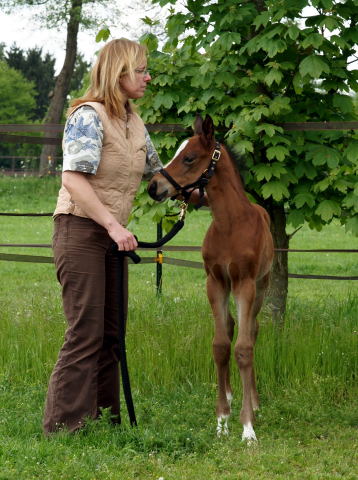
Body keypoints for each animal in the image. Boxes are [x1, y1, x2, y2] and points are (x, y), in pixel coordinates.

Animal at [147, 114, 272, 440]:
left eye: (189, 157)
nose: (154, 187)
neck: (231, 224)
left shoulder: (244, 283)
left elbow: (243, 349)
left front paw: (247, 427)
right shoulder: (214, 282)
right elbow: (220, 345)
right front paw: (222, 419)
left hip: (261, 286)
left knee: (252, 331)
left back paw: (255, 402)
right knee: (229, 327)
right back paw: (230, 394)